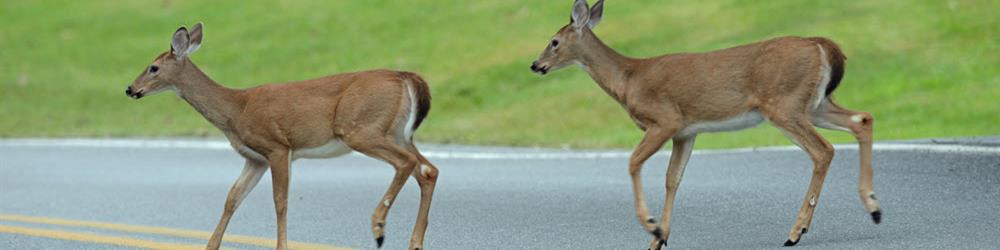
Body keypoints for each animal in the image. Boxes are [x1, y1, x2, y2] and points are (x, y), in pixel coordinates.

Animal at [125, 22, 438, 250]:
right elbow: (232, 198)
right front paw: (210, 246)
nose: (130, 89)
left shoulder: (277, 147)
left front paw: (281, 246)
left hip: (361, 129)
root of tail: (406, 77)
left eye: (153, 67)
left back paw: (378, 227)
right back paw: (415, 243)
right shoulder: (255, 159)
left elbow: (280, 201)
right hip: (396, 132)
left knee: (407, 163)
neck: (236, 110)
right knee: (428, 169)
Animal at [532, 0, 884, 248]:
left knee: (823, 150)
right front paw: (659, 238)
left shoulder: (664, 120)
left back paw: (796, 231)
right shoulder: (686, 132)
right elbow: (673, 179)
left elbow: (633, 163)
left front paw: (651, 226)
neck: (628, 80)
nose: (536, 65)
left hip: (783, 104)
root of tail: (821, 45)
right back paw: (873, 207)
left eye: (554, 41)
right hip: (815, 105)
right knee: (862, 119)